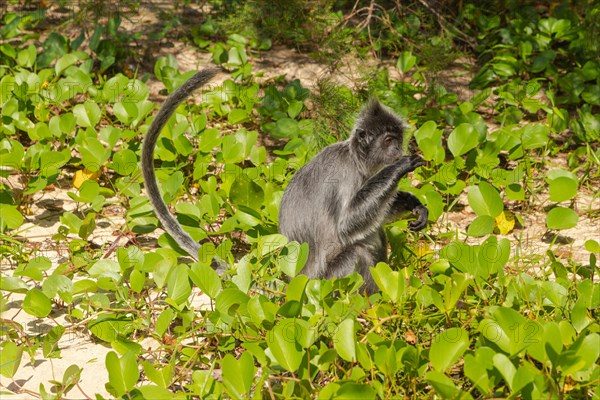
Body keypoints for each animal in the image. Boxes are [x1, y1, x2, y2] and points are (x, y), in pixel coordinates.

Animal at [278, 100, 428, 294]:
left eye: (398, 139)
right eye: (388, 140)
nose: (397, 148)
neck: (355, 159)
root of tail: (294, 283)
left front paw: (413, 203)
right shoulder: (344, 173)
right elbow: (346, 225)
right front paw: (399, 167)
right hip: (328, 282)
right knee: (358, 252)